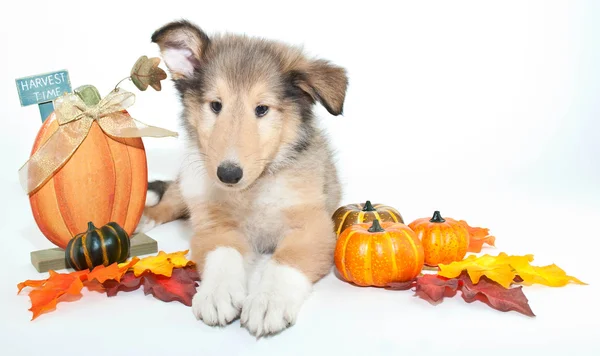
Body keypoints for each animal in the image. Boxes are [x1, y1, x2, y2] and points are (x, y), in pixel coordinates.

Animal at [137, 19, 346, 336]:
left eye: (262, 109)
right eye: (215, 105)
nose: (228, 174)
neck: (254, 190)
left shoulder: (313, 227)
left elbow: (285, 260)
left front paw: (268, 301)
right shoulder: (214, 225)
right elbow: (224, 253)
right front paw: (218, 293)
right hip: (188, 182)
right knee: (169, 200)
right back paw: (146, 217)